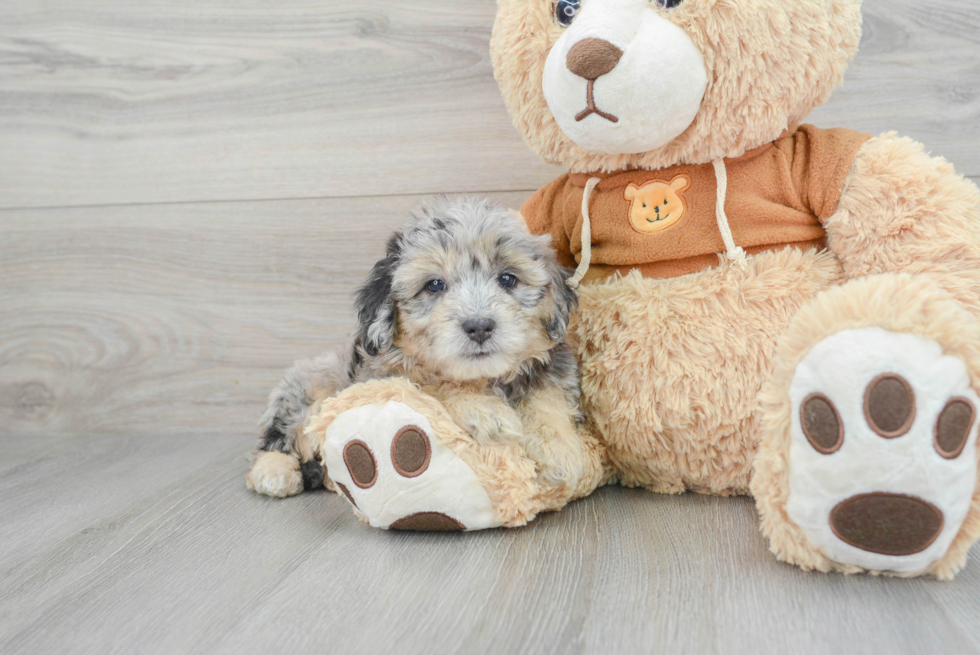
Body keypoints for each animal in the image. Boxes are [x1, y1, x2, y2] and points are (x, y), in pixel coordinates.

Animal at [247, 195, 580, 498]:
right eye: (434, 285)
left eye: (508, 279)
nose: (479, 326)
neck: (483, 376)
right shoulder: (383, 376)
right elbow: (433, 381)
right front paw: (485, 410)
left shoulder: (551, 366)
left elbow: (547, 398)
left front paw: (559, 450)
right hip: (309, 387)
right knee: (279, 437)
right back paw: (273, 472)